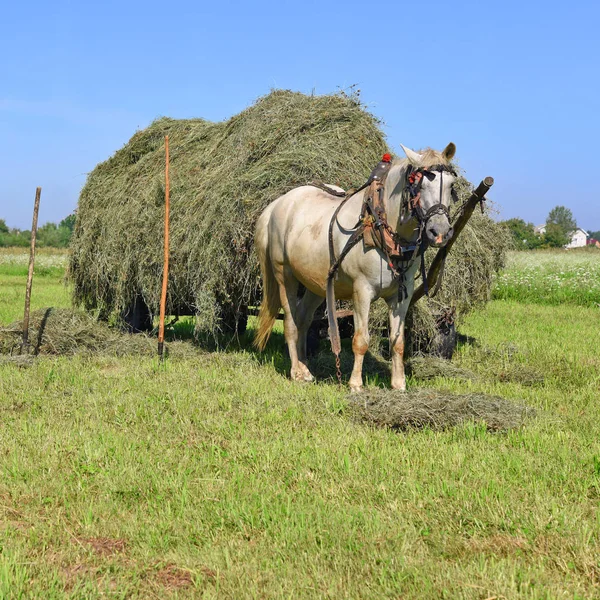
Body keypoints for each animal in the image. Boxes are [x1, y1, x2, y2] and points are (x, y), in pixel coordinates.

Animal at [252, 144, 454, 392]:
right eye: (419, 183)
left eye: (451, 185)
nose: (440, 232)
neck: (380, 224)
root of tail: (277, 204)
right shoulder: (362, 291)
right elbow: (361, 339)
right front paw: (356, 384)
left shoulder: (401, 295)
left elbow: (398, 341)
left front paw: (399, 384)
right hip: (284, 276)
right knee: (290, 323)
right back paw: (296, 372)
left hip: (316, 284)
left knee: (303, 319)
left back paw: (305, 367)